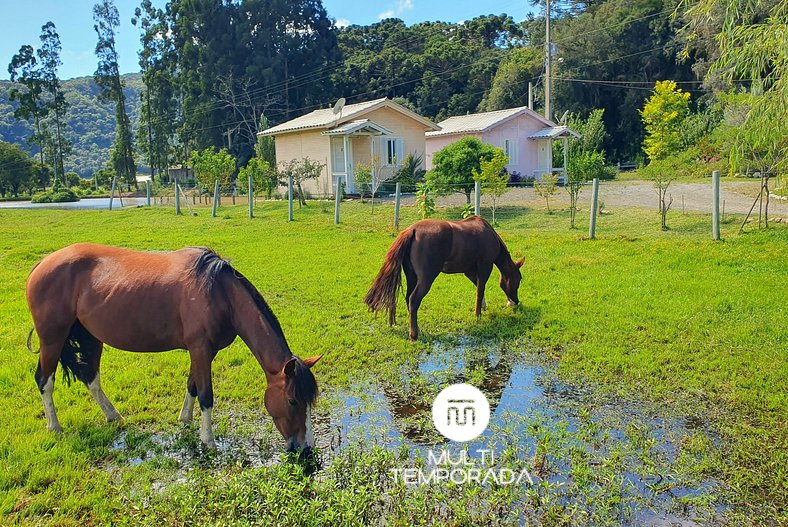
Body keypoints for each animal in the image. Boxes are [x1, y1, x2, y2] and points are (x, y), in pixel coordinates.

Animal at [25, 243, 320, 454]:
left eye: (309, 401)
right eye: (293, 400)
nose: (306, 450)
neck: (218, 291)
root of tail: (42, 264)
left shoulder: (202, 351)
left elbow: (192, 386)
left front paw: (185, 420)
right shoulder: (200, 349)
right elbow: (206, 395)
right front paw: (208, 440)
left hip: (90, 337)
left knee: (91, 378)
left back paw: (113, 415)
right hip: (52, 338)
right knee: (45, 380)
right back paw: (55, 427)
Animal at [364, 217, 524, 340]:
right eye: (519, 279)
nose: (515, 301)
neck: (489, 234)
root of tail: (412, 230)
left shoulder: (470, 271)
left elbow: (478, 287)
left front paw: (483, 306)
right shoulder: (485, 267)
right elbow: (480, 291)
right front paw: (478, 314)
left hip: (411, 276)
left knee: (408, 298)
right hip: (426, 278)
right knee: (414, 299)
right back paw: (414, 334)